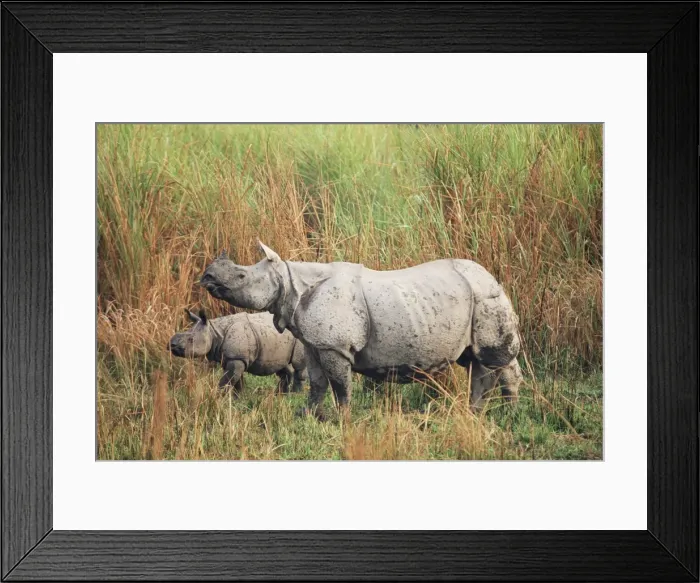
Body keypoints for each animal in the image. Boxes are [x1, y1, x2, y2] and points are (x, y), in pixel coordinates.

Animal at [168, 308, 307, 396]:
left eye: (191, 340)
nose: (171, 345)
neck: (213, 332)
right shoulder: (232, 358)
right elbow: (236, 381)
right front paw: (238, 399)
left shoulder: (236, 358)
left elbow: (227, 381)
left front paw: (217, 397)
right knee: (283, 365)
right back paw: (280, 396)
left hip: (299, 334)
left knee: (298, 365)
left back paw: (295, 395)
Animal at [199, 243, 523, 419]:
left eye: (241, 276)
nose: (207, 277)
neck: (290, 281)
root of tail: (492, 276)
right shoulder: (314, 343)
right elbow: (317, 383)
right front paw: (308, 415)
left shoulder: (335, 345)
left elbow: (340, 385)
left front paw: (342, 418)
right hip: (475, 296)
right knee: (480, 359)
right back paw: (492, 410)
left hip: (485, 296)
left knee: (491, 359)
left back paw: (493, 412)